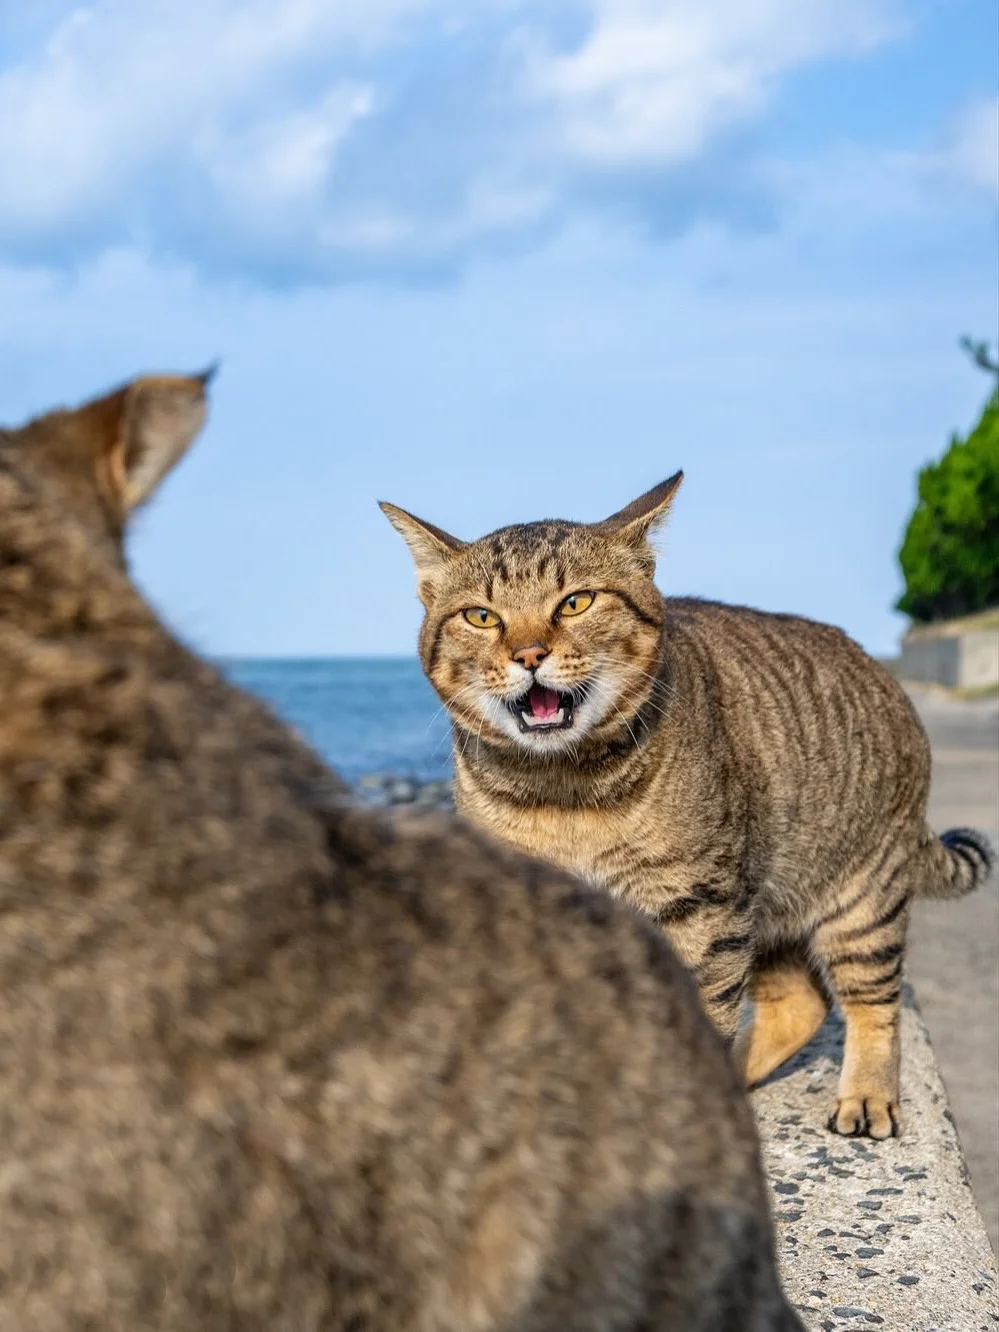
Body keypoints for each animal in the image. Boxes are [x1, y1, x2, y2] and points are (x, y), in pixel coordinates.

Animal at [380, 474, 996, 1140]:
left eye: (575, 603)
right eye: (481, 617)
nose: (529, 654)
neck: (562, 792)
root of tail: (889, 680)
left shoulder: (700, 909)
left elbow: (700, 1020)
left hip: (858, 904)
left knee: (872, 1003)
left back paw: (866, 1096)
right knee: (800, 1002)